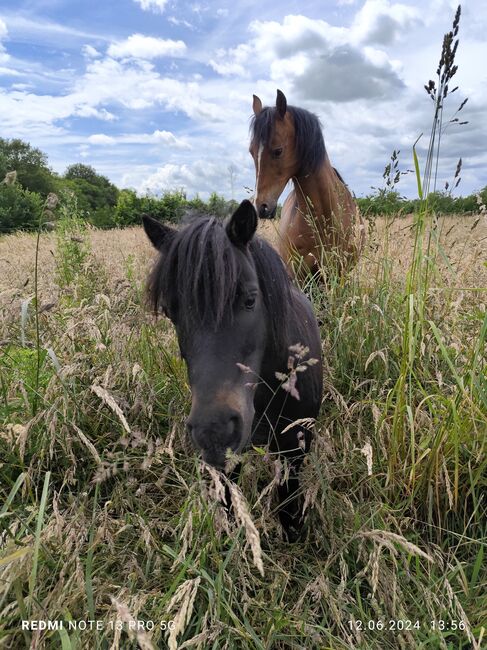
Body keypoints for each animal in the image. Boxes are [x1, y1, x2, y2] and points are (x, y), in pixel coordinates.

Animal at [143, 199, 322, 536]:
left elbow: (289, 502)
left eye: (250, 300)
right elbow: (229, 503)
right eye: (170, 311)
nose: (213, 431)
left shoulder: (295, 447)